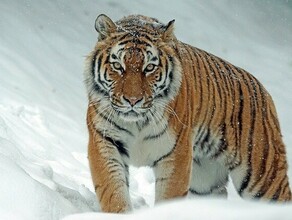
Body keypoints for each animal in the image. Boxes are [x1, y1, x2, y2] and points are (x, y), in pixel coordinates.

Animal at [83, 14, 290, 213]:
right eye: (118, 66)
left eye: (149, 68)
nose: (132, 100)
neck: (137, 122)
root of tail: (263, 91)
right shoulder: (105, 142)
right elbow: (113, 193)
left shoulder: (175, 154)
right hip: (205, 181)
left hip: (263, 176)